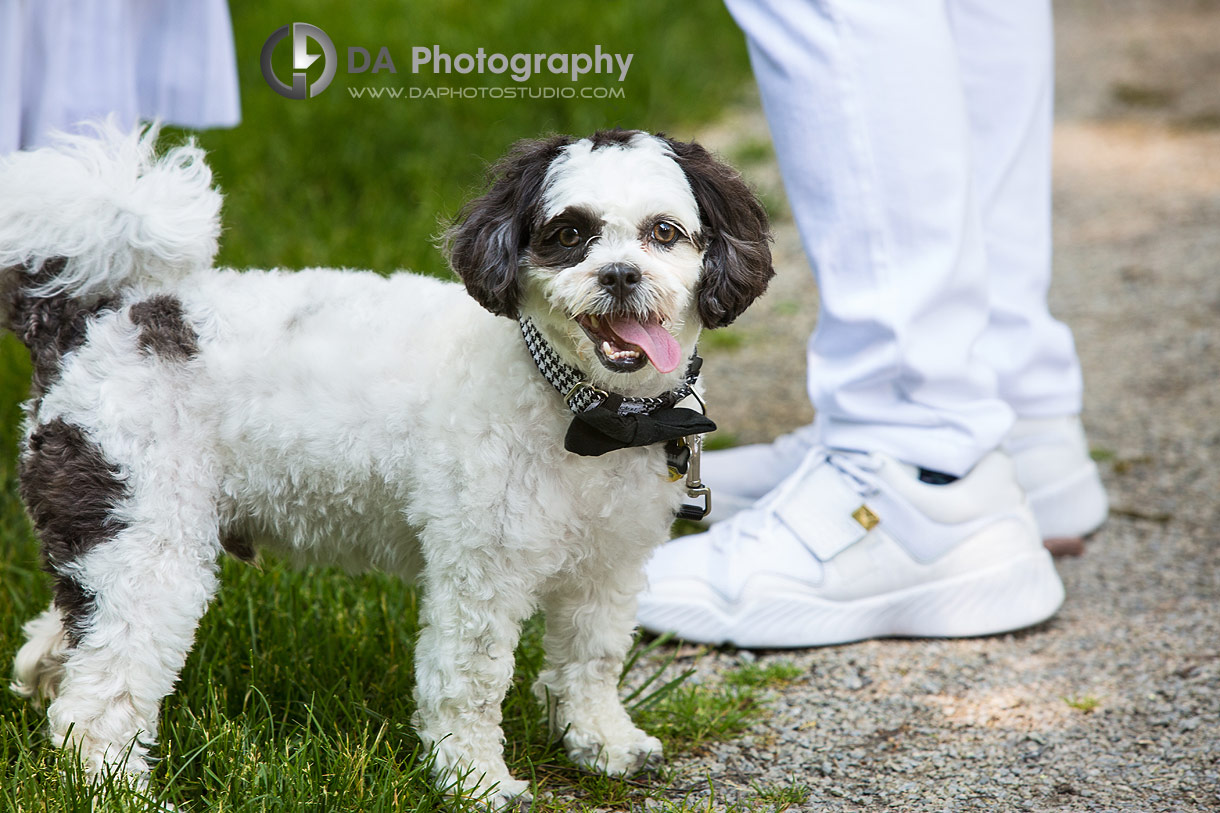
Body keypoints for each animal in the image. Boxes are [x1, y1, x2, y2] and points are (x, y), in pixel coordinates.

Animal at [0, 122, 771, 805]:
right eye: (567, 235)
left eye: (663, 232)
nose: (619, 275)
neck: (586, 409)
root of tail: (93, 320)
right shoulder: (479, 571)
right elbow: (468, 681)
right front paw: (476, 781)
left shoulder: (608, 565)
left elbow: (593, 659)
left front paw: (602, 743)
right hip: (144, 539)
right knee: (100, 695)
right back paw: (112, 787)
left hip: (105, 533)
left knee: (69, 633)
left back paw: (43, 675)